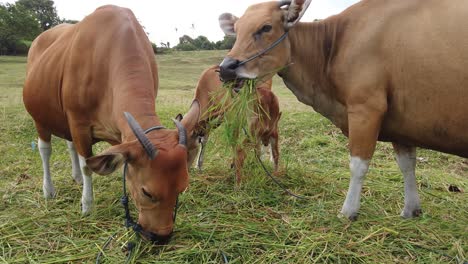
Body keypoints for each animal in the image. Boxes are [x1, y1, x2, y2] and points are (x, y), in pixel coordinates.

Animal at [23, 5, 199, 242]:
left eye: (182, 188)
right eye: (147, 192)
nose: (160, 236)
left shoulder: (120, 133)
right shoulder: (78, 123)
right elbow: (88, 165)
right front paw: (87, 205)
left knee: (70, 146)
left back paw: (76, 178)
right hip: (41, 119)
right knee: (45, 151)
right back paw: (48, 189)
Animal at [218, 0, 468, 220]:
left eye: (266, 27)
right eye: (236, 31)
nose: (226, 68)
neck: (335, 44)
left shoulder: (366, 108)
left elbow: (358, 165)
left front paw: (348, 212)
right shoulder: (403, 126)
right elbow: (407, 165)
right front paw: (411, 210)